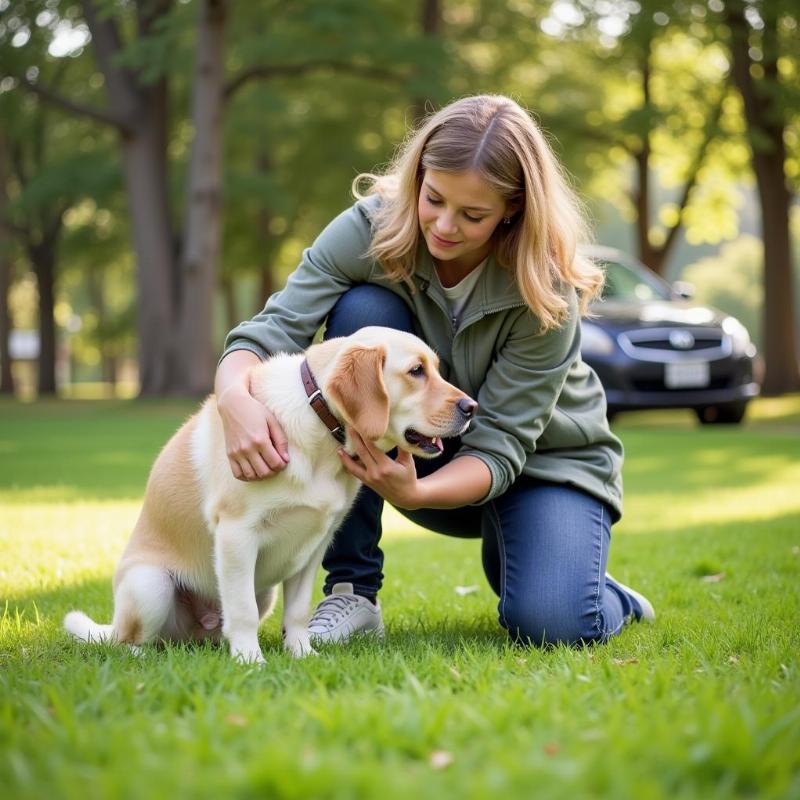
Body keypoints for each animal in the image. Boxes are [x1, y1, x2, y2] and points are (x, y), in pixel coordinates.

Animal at [64, 326, 476, 664]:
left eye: (436, 369)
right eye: (416, 371)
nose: (471, 407)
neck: (320, 429)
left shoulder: (314, 544)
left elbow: (297, 612)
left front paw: (302, 653)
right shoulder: (236, 534)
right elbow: (242, 611)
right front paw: (250, 661)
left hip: (263, 593)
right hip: (151, 585)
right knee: (129, 639)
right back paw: (142, 654)